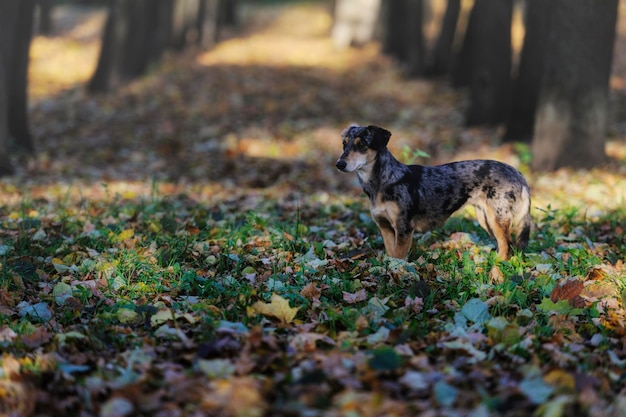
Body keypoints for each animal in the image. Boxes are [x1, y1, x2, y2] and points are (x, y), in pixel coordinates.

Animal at [334, 123, 528, 260]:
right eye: (344, 144)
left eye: (362, 145)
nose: (339, 164)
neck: (384, 181)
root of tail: (517, 173)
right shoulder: (385, 227)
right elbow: (391, 254)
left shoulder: (403, 228)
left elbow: (399, 257)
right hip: (485, 219)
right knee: (506, 244)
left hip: (497, 218)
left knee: (507, 245)